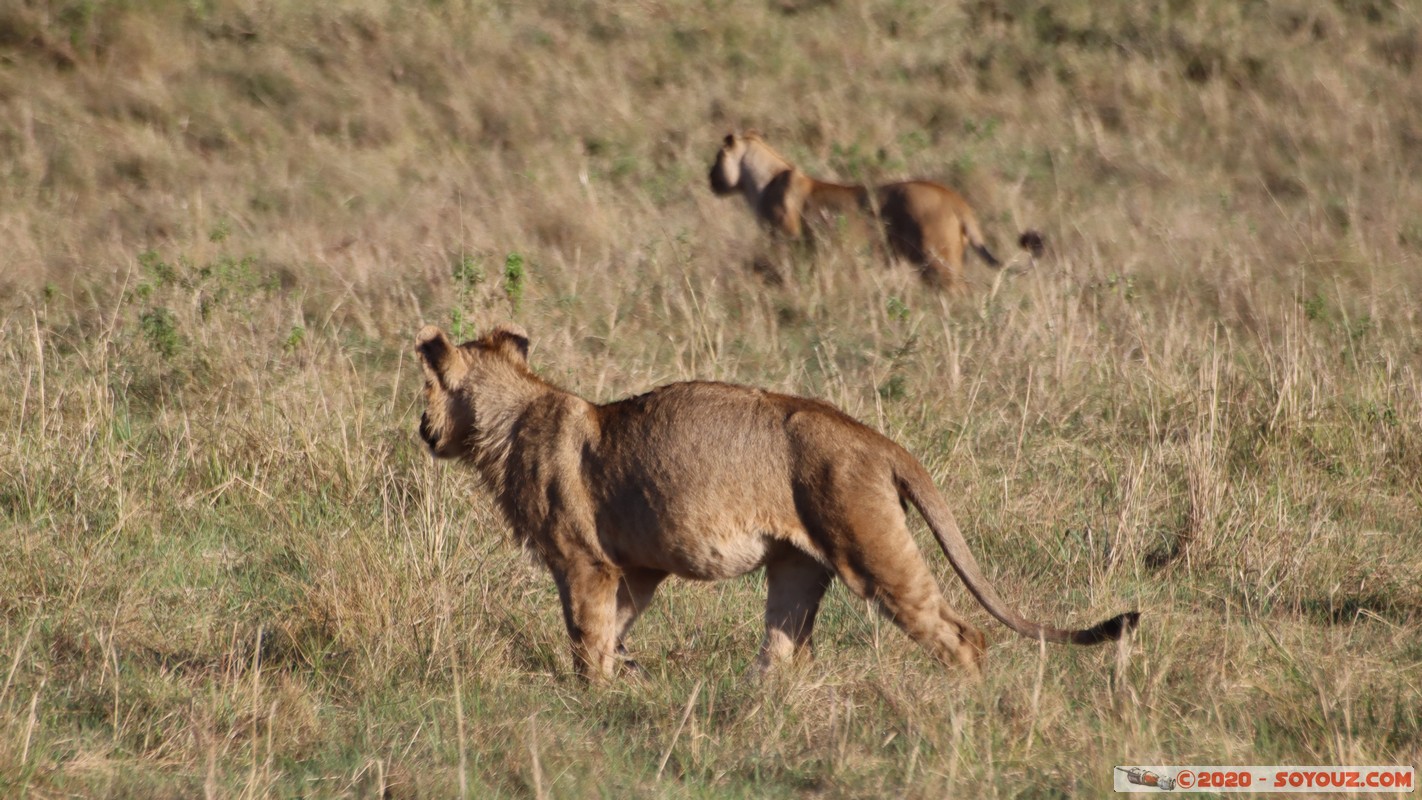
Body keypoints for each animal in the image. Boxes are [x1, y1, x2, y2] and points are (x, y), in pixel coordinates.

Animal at [415, 322, 1137, 679]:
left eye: (422, 389)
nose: (421, 429)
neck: (510, 415)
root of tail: (876, 440)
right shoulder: (638, 566)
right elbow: (616, 626)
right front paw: (623, 674)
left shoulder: (583, 561)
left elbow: (586, 634)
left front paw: (590, 693)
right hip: (797, 566)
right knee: (783, 649)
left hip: (870, 548)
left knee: (962, 635)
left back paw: (961, 711)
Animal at [711, 130, 1035, 292]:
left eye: (716, 159)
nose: (710, 178)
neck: (757, 181)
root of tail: (954, 198)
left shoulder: (787, 242)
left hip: (938, 262)